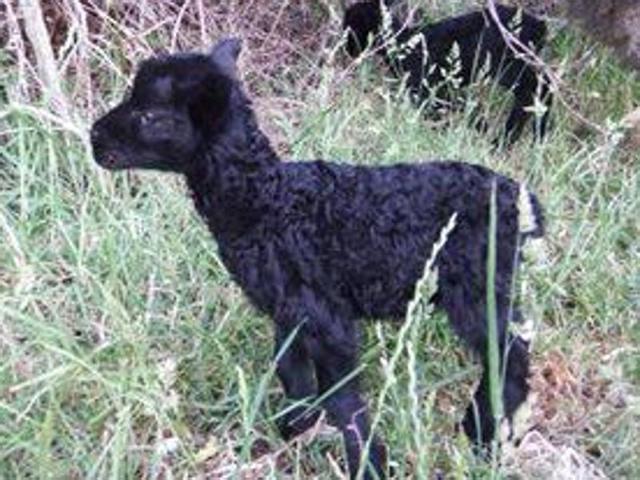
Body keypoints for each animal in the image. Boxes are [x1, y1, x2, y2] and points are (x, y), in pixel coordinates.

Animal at [90, 38, 545, 479]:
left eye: (149, 115)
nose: (94, 137)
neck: (264, 202)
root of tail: (522, 201)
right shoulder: (289, 309)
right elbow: (292, 371)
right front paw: (295, 431)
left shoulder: (327, 318)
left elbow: (343, 400)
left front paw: (368, 464)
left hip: (476, 284)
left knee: (510, 355)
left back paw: (483, 435)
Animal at [343, 1, 553, 145]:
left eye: (351, 25)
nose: (348, 50)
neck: (402, 42)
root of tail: (540, 26)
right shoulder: (439, 89)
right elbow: (462, 106)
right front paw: (478, 127)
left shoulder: (428, 89)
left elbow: (449, 109)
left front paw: (476, 129)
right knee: (542, 87)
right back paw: (533, 137)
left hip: (506, 65)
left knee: (535, 89)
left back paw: (507, 139)